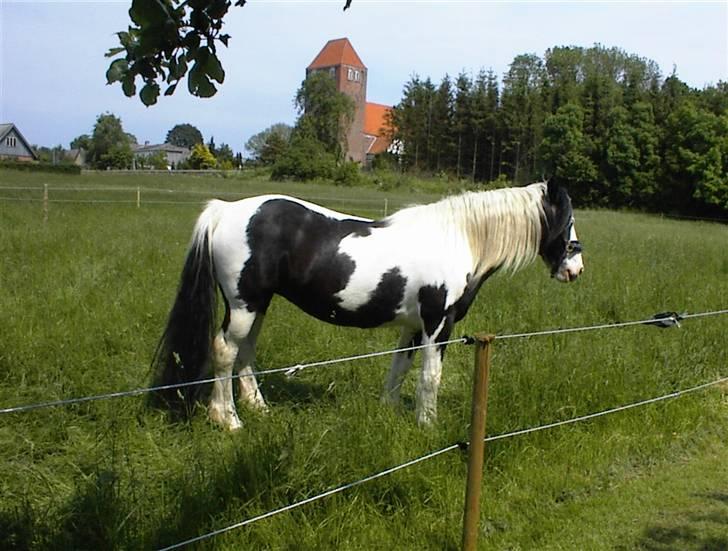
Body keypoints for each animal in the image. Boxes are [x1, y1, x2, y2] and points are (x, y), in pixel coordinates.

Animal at [154, 181, 584, 432]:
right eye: (567, 219)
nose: (576, 269)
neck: (459, 237)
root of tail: (224, 210)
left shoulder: (412, 327)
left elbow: (399, 369)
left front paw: (389, 411)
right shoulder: (437, 323)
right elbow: (430, 377)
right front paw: (427, 426)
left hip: (257, 305)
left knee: (244, 352)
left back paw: (259, 410)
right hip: (244, 304)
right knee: (225, 352)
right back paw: (228, 420)